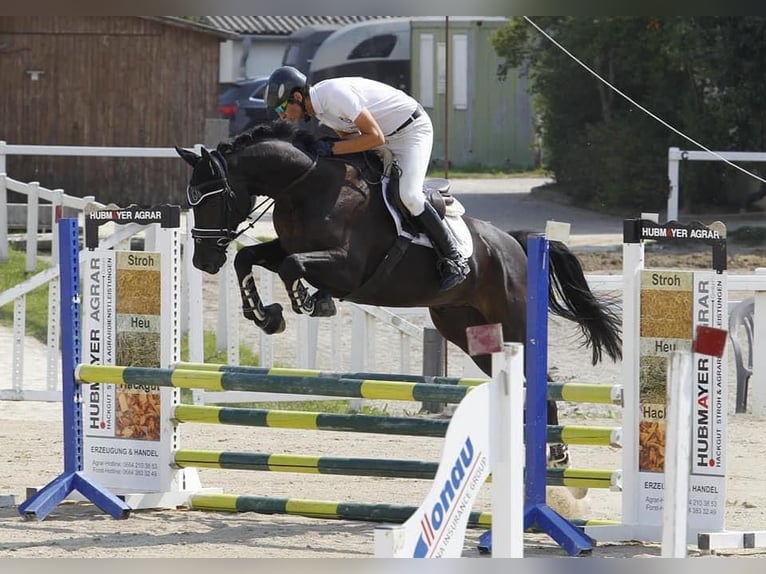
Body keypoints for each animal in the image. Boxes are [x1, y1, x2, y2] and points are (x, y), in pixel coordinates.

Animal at [176, 120, 624, 468]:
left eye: (210, 200)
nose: (203, 262)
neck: (306, 186)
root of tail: (514, 243)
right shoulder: (285, 246)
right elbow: (248, 258)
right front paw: (265, 314)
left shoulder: (345, 267)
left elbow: (292, 268)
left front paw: (308, 301)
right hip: (468, 331)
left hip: (514, 321)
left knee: (542, 379)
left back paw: (557, 452)